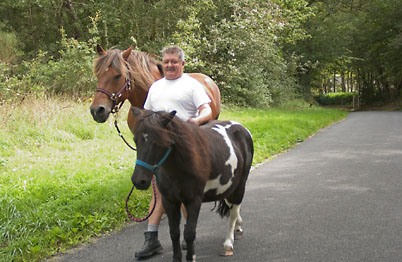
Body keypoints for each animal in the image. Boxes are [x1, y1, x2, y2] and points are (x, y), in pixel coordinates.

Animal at [130, 107, 253, 260]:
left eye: (158, 142)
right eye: (136, 140)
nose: (139, 181)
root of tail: (241, 128)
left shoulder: (194, 200)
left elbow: (189, 233)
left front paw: (191, 257)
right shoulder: (169, 201)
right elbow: (174, 232)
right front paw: (177, 258)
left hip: (239, 186)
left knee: (234, 212)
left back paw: (228, 243)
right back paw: (238, 227)